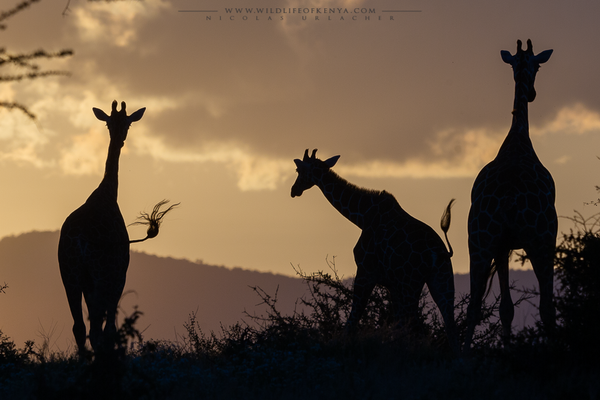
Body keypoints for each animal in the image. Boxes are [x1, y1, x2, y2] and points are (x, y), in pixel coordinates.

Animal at [58, 101, 178, 356]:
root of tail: (80, 241)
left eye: (125, 123)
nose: (121, 137)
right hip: (102, 276)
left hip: (70, 274)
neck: (107, 194)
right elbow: (110, 328)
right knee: (98, 328)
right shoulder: (119, 274)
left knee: (80, 327)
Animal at [292, 149, 458, 350]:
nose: (294, 190)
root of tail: (438, 253)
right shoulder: (392, 283)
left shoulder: (366, 271)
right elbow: (396, 324)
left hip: (411, 283)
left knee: (417, 325)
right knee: (450, 325)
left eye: (298, 170)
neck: (362, 216)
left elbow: (353, 318)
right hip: (442, 280)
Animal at [464, 40, 556, 352]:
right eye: (538, 66)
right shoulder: (542, 239)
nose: (533, 94)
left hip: (478, 243)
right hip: (540, 240)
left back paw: (460, 355)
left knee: (472, 307)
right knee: (547, 307)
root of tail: (508, 200)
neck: (517, 140)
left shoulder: (502, 245)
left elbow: (506, 308)